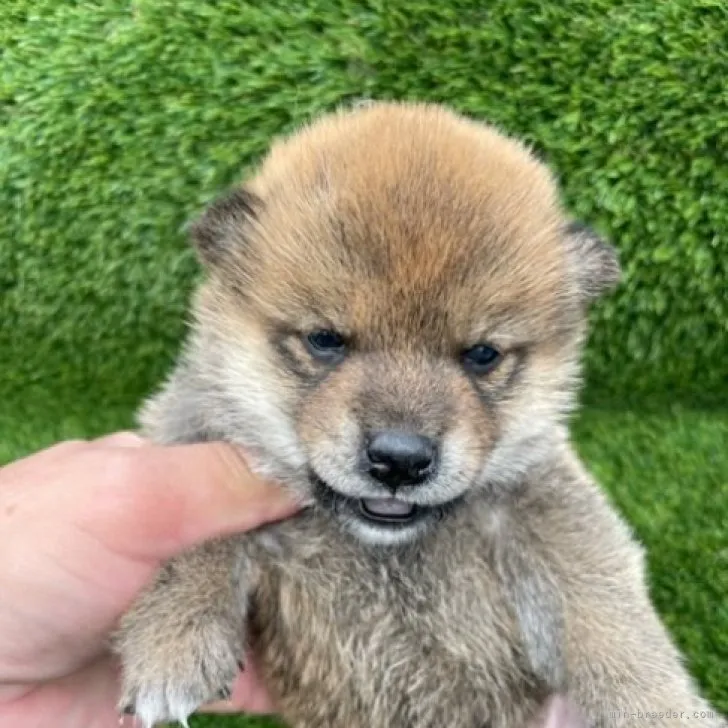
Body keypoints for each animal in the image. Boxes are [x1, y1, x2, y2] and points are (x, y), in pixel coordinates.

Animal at [112, 102, 724, 728]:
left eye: (482, 354)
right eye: (324, 340)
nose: (400, 459)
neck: (387, 550)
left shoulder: (545, 507)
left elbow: (605, 610)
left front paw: (659, 708)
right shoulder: (192, 427)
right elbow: (195, 535)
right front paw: (172, 639)